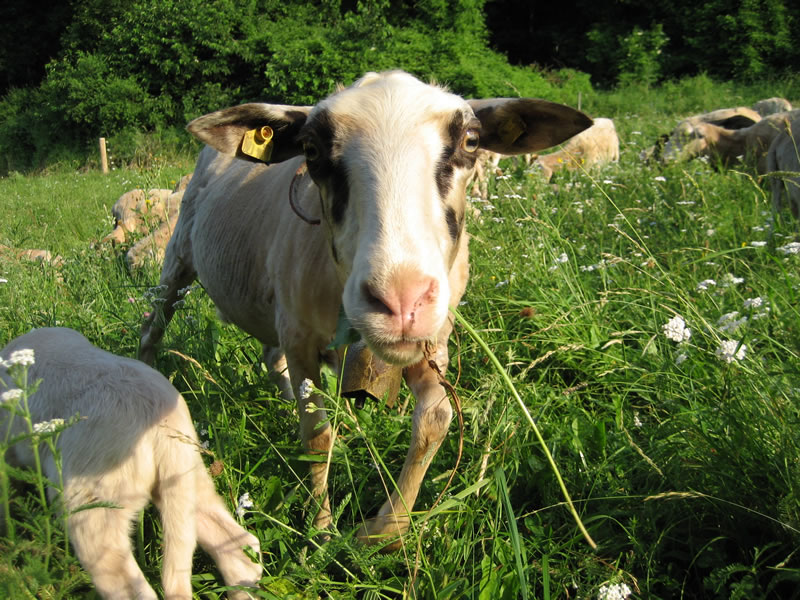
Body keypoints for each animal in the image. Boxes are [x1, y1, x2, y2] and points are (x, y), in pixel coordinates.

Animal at [136, 69, 588, 548]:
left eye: (470, 141)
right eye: (311, 150)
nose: (402, 302)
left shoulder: (432, 340)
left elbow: (436, 419)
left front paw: (385, 530)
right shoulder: (301, 338)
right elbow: (317, 437)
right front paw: (322, 530)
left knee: (272, 358)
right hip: (179, 257)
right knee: (153, 326)